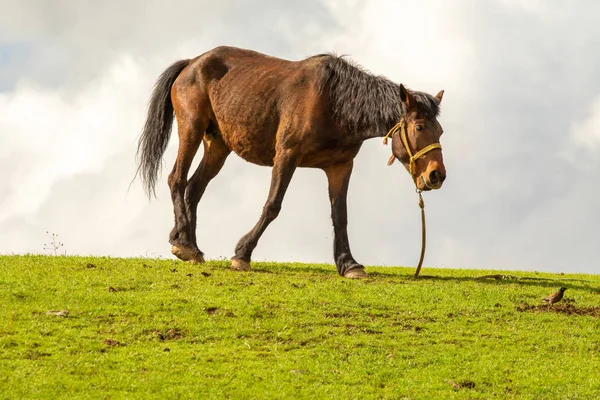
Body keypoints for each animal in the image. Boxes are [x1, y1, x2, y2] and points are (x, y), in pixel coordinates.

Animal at [136, 45, 446, 278]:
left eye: (440, 131)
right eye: (419, 128)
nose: (436, 175)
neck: (335, 103)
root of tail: (192, 63)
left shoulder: (340, 167)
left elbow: (340, 215)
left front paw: (349, 264)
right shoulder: (286, 155)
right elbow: (273, 205)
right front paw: (242, 253)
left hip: (218, 145)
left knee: (193, 189)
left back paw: (186, 243)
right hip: (191, 128)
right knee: (177, 179)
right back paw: (186, 245)